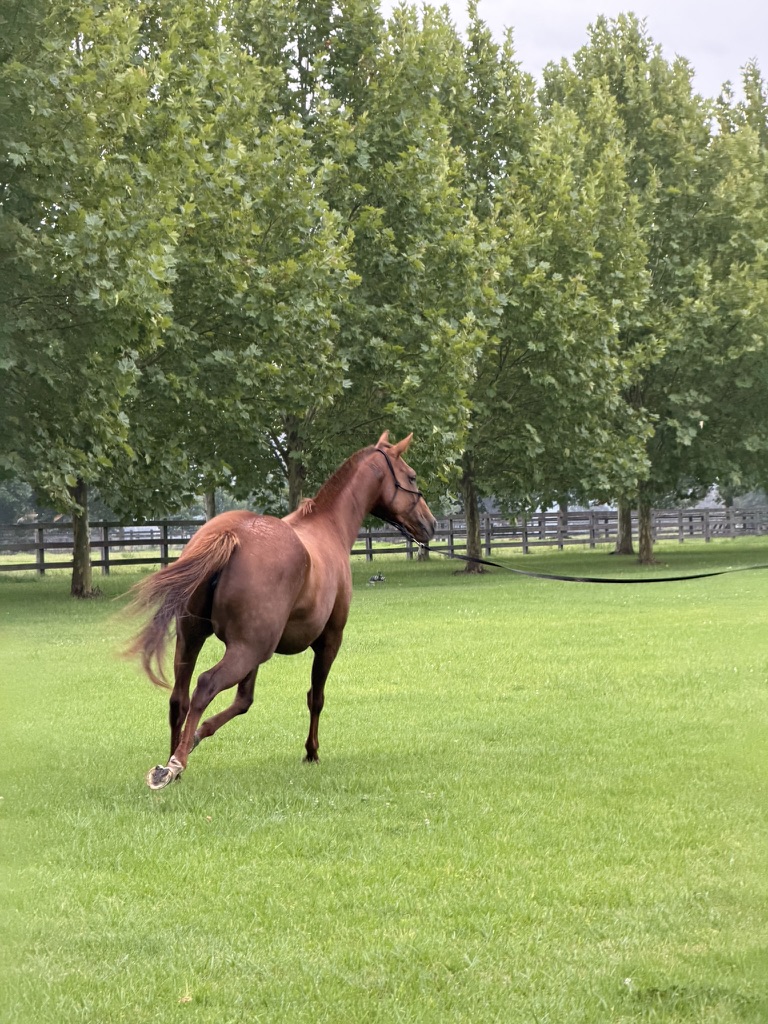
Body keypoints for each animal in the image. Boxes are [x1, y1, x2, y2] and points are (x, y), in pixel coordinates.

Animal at [126, 432, 436, 789]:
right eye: (411, 476)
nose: (431, 524)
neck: (328, 527)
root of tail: (231, 535)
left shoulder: (257, 654)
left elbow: (244, 701)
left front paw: (198, 736)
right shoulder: (329, 641)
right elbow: (315, 697)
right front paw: (311, 751)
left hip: (195, 640)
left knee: (180, 698)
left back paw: (171, 760)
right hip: (245, 649)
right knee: (205, 685)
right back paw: (176, 763)